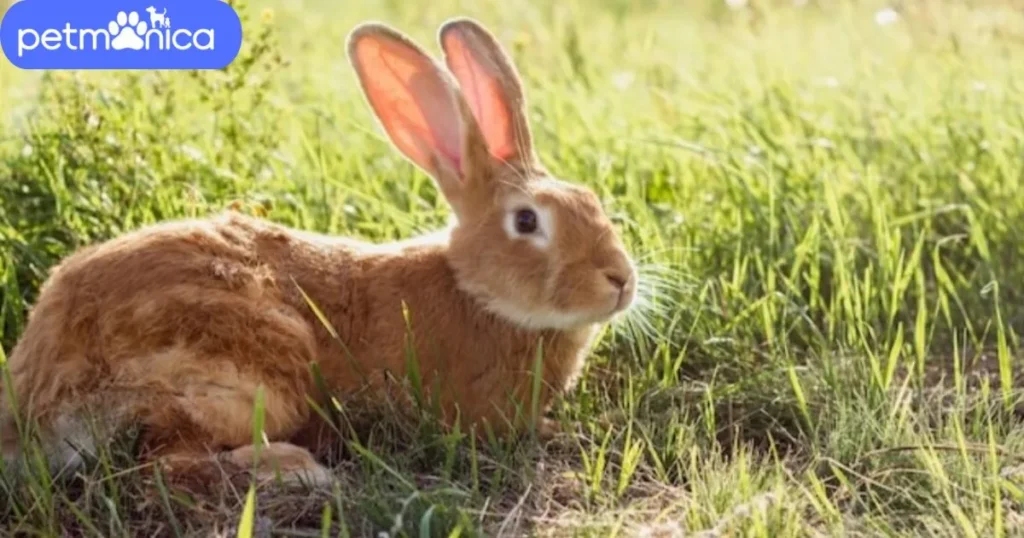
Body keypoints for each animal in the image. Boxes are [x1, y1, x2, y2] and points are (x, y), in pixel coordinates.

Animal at [0, 17, 634, 485]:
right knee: (169, 461)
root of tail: (39, 396)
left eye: (591, 200)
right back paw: (298, 469)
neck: (478, 294)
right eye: (527, 221)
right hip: (251, 375)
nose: (621, 280)